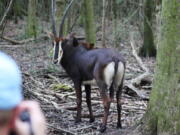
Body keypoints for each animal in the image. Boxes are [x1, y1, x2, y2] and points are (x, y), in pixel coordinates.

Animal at [48, 0, 125, 132]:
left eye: (63, 42)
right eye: (53, 43)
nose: (55, 60)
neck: (75, 52)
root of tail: (115, 58)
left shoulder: (77, 80)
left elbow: (79, 99)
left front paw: (77, 119)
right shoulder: (87, 82)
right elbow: (88, 99)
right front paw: (91, 119)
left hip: (101, 83)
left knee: (106, 101)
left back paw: (103, 127)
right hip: (119, 83)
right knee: (119, 101)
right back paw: (119, 124)